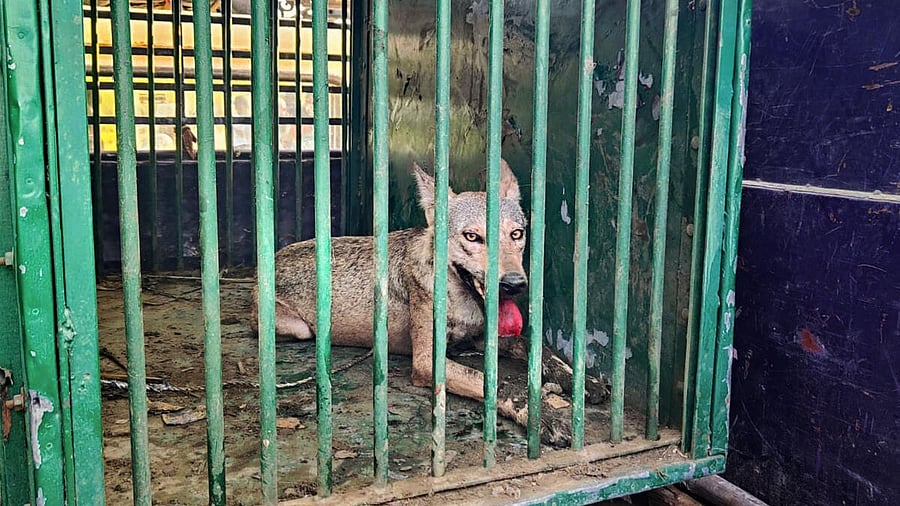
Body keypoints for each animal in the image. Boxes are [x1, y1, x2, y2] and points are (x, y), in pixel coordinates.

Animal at [255, 159, 607, 446]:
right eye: (472, 237)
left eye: (517, 234)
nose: (514, 285)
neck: (459, 301)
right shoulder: (428, 362)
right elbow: (501, 384)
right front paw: (545, 417)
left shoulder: (485, 335)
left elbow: (542, 351)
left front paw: (583, 381)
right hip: (302, 330)